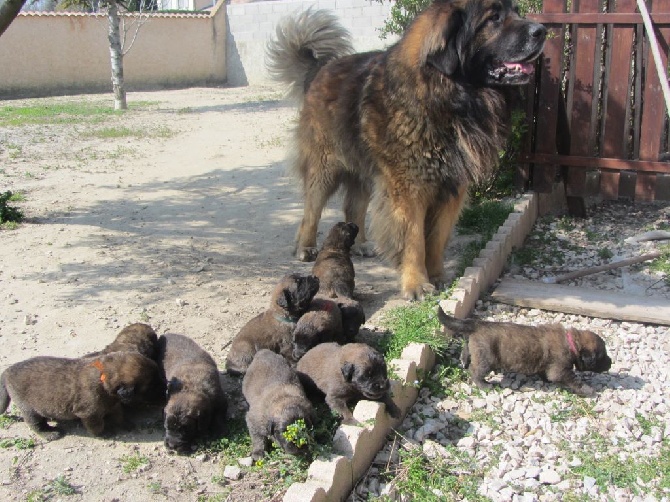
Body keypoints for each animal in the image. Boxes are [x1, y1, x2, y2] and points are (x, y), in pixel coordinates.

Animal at [0, 352, 160, 442]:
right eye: (151, 386)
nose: (163, 393)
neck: (103, 376)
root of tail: (7, 371)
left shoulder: (113, 403)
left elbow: (118, 414)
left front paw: (125, 423)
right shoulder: (90, 413)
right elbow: (96, 425)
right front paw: (103, 432)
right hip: (28, 408)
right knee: (35, 424)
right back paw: (49, 433)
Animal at [268, 0, 544, 298]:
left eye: (515, 12)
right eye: (493, 18)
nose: (542, 31)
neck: (446, 98)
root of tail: (322, 68)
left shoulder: (451, 186)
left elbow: (436, 238)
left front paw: (437, 276)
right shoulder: (409, 188)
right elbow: (414, 239)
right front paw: (416, 284)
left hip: (366, 169)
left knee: (354, 205)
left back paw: (360, 243)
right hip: (325, 166)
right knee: (312, 209)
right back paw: (305, 247)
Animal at [438, 306, 616, 396]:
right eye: (602, 356)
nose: (611, 362)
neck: (572, 343)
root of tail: (479, 323)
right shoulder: (561, 369)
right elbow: (573, 380)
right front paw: (587, 390)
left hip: (476, 347)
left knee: (467, 350)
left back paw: (463, 360)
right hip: (486, 358)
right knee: (476, 372)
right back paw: (484, 385)